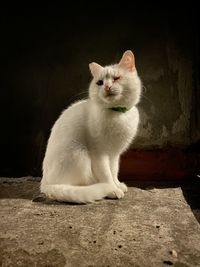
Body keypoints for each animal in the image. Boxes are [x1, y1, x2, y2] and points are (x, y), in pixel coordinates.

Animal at [40, 50, 141, 203]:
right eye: (100, 82)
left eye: (116, 78)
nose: (107, 87)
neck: (117, 114)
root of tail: (44, 184)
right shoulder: (99, 153)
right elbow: (106, 174)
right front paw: (112, 189)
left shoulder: (114, 154)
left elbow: (114, 171)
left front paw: (117, 184)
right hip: (80, 154)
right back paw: (100, 189)